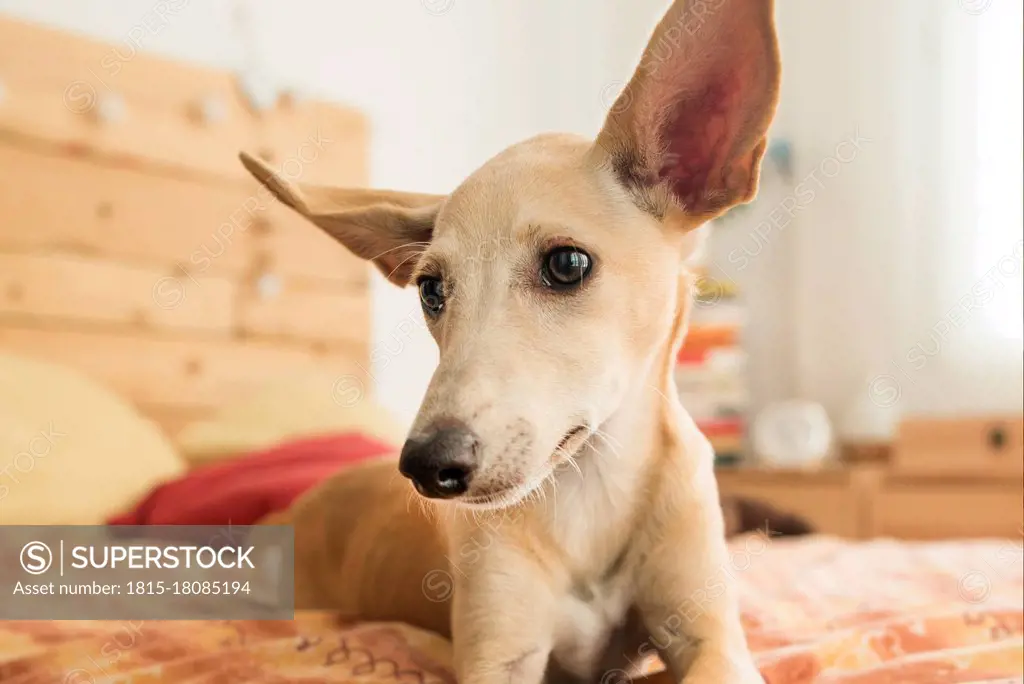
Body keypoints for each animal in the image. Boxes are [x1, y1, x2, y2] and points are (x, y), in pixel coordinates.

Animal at [241, 2, 782, 679]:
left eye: (568, 264)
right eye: (431, 290)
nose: (427, 466)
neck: (589, 492)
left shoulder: (712, 637)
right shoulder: (499, 654)